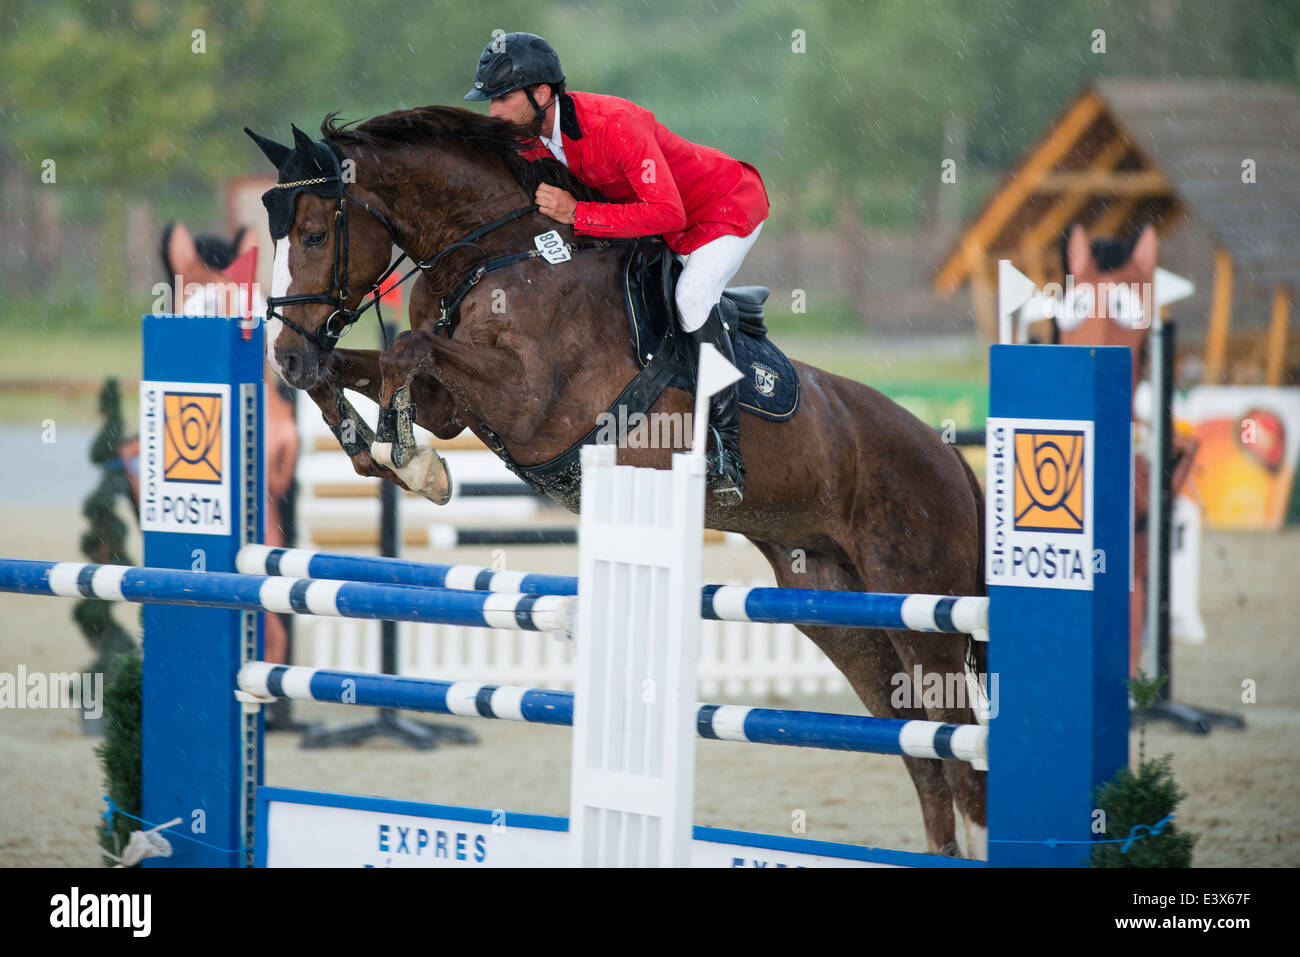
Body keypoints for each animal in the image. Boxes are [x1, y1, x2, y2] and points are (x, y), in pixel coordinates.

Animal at [248, 108, 987, 858]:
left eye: (315, 233)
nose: (284, 353)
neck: (498, 252)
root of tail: (952, 459)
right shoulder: (453, 405)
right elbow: (358, 368)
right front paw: (373, 447)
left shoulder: (529, 402)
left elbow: (405, 349)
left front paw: (409, 460)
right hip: (839, 611)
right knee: (920, 751)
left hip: (925, 606)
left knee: (958, 752)